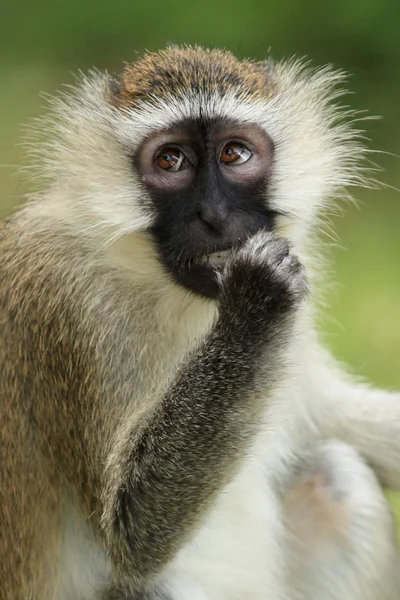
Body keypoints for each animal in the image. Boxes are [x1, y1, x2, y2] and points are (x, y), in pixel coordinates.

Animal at [0, 48, 400, 600]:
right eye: (171, 160)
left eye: (234, 154)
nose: (214, 215)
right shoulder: (65, 306)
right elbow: (130, 528)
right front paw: (257, 298)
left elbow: (331, 417)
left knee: (337, 479)